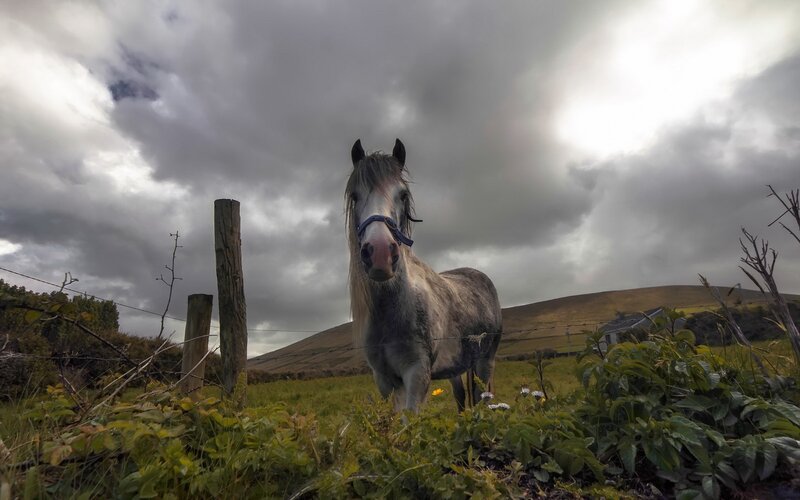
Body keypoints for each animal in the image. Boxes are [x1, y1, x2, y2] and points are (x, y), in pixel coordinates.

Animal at [346, 138, 503, 412]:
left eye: (403, 195)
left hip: (486, 361)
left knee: (484, 396)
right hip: (456, 368)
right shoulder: (385, 381)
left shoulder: (417, 374)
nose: (380, 254)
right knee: (462, 397)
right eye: (355, 196)